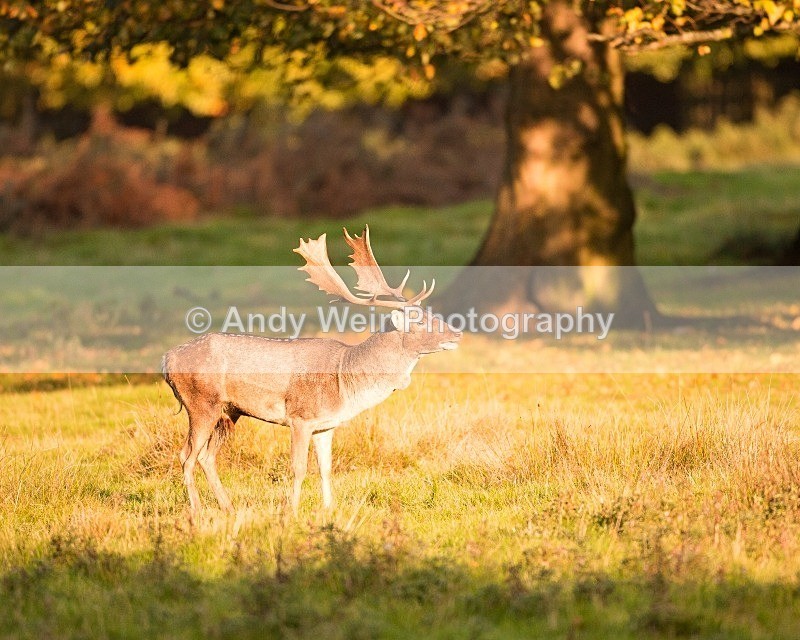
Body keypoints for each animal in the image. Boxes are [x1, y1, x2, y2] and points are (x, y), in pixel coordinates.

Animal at [162, 226, 462, 516]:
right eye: (419, 321)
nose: (457, 333)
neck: (345, 380)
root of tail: (167, 359)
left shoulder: (326, 425)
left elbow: (326, 468)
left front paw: (329, 509)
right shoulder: (300, 417)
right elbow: (299, 467)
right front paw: (292, 511)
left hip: (229, 412)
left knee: (206, 456)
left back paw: (229, 508)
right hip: (201, 404)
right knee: (186, 455)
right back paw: (197, 511)